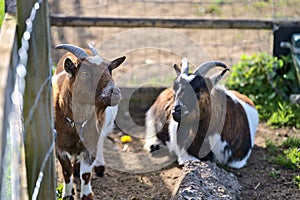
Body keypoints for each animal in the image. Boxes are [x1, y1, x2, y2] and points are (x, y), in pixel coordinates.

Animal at [52, 43, 125, 198]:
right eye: (84, 73)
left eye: (110, 71)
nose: (115, 93)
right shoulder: (59, 146)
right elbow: (66, 171)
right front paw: (67, 195)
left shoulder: (90, 143)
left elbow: (86, 174)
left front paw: (86, 195)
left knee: (102, 139)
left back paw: (99, 166)